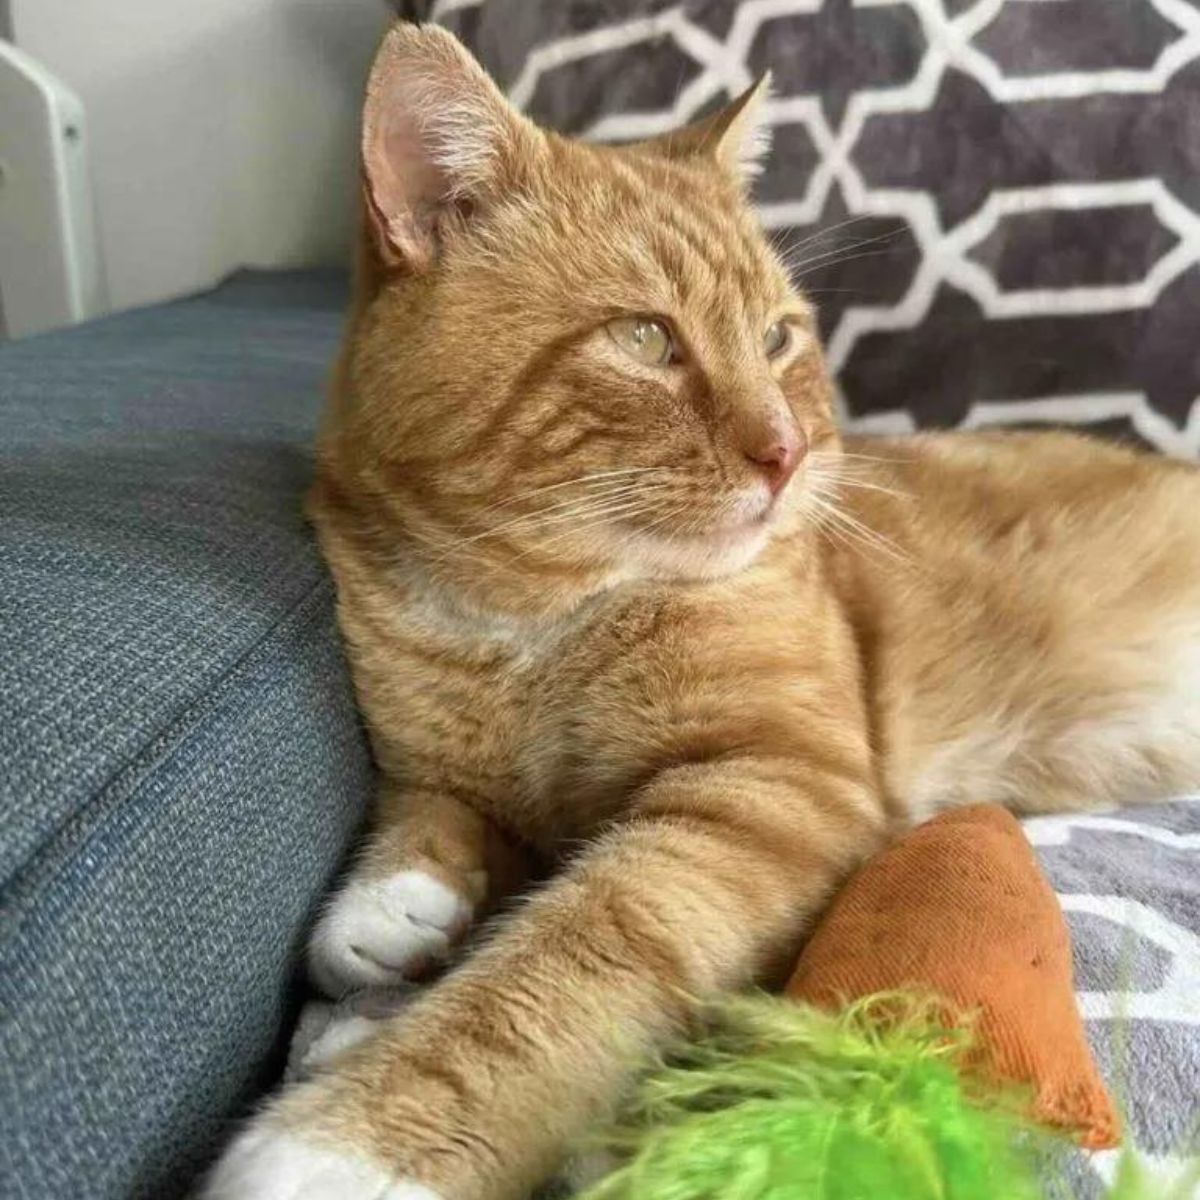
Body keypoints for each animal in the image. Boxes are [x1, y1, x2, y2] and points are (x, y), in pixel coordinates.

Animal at [204, 21, 1200, 1200]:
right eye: (646, 339)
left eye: (777, 339)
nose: (788, 451)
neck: (533, 623)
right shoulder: (439, 759)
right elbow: (428, 807)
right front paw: (388, 907)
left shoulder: (769, 791)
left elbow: (573, 960)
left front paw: (354, 1135)